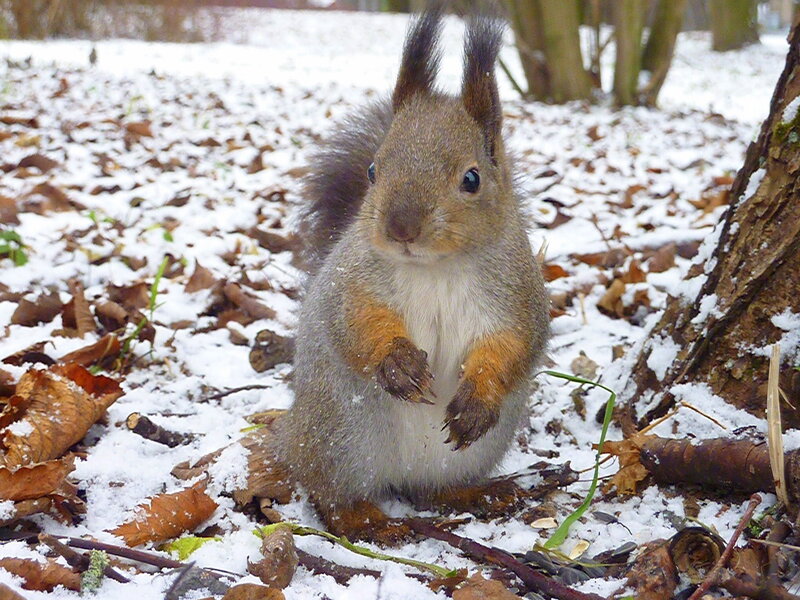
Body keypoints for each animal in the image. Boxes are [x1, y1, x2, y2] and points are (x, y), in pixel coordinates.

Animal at [276, 4, 552, 540]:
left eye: (472, 178)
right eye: (372, 171)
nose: (400, 226)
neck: (435, 268)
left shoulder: (517, 293)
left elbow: (512, 344)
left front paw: (478, 398)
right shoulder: (353, 280)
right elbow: (357, 321)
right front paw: (399, 364)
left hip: (469, 452)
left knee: (432, 490)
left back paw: (478, 493)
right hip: (341, 434)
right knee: (332, 498)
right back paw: (370, 522)